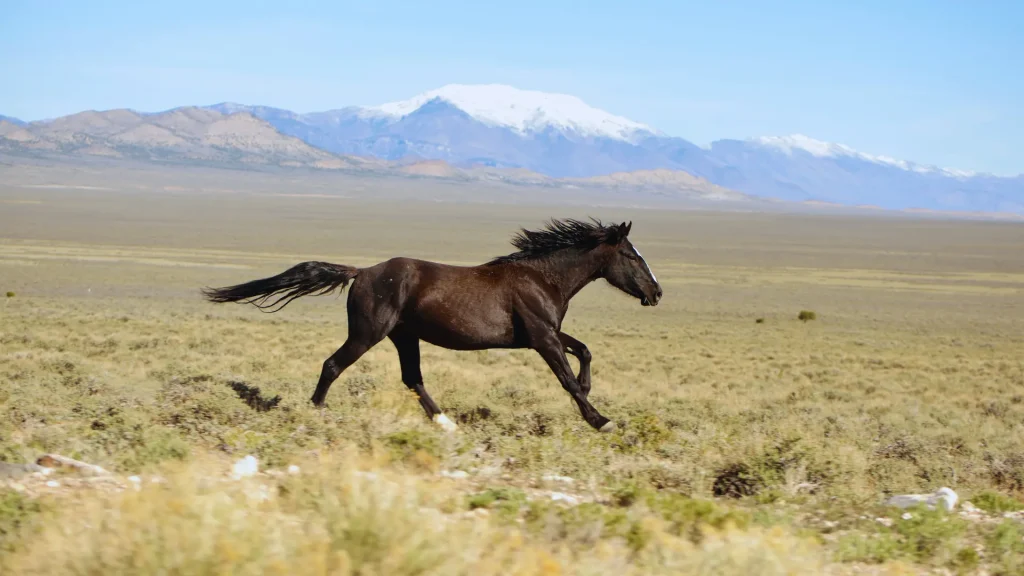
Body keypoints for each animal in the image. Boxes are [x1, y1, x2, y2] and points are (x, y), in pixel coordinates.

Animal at [201, 218, 662, 433]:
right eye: (632, 256)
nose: (657, 293)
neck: (540, 277)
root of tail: (362, 272)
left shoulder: (542, 334)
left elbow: (584, 350)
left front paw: (590, 392)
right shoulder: (541, 337)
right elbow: (566, 377)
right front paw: (601, 420)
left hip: (404, 336)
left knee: (413, 378)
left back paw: (445, 422)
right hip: (369, 333)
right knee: (333, 365)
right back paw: (316, 412)